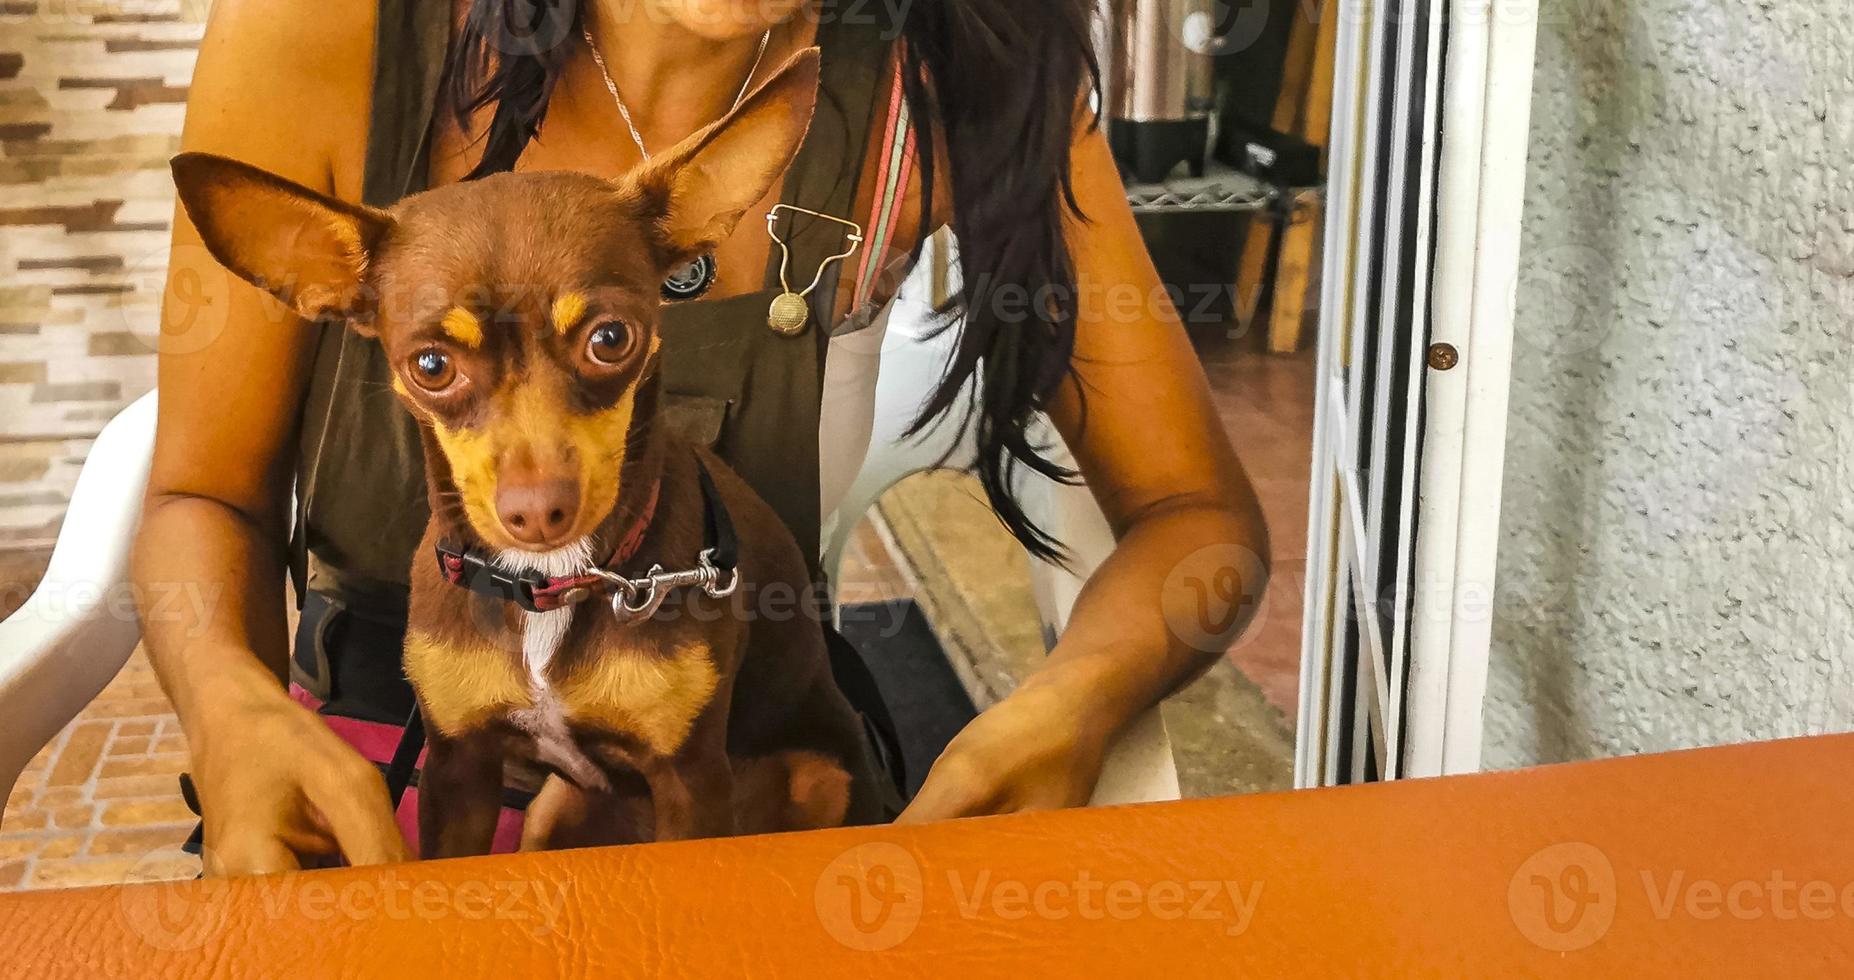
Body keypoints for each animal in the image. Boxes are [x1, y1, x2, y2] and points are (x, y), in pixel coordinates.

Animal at [175, 49, 889, 852]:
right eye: (430, 366)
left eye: (611, 339)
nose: (539, 512)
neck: (555, 584)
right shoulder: (460, 768)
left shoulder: (692, 783)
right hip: (551, 808)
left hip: (817, 778)